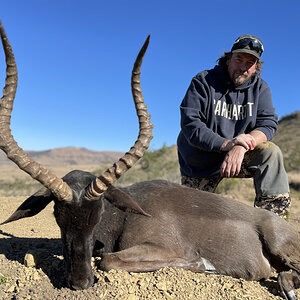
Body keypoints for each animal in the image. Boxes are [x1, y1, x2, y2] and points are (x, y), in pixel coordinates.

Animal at [0, 22, 300, 298]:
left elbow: (108, 260)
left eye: (98, 216)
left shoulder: (161, 247)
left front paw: (203, 263)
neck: (125, 216)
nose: (80, 282)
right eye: (57, 216)